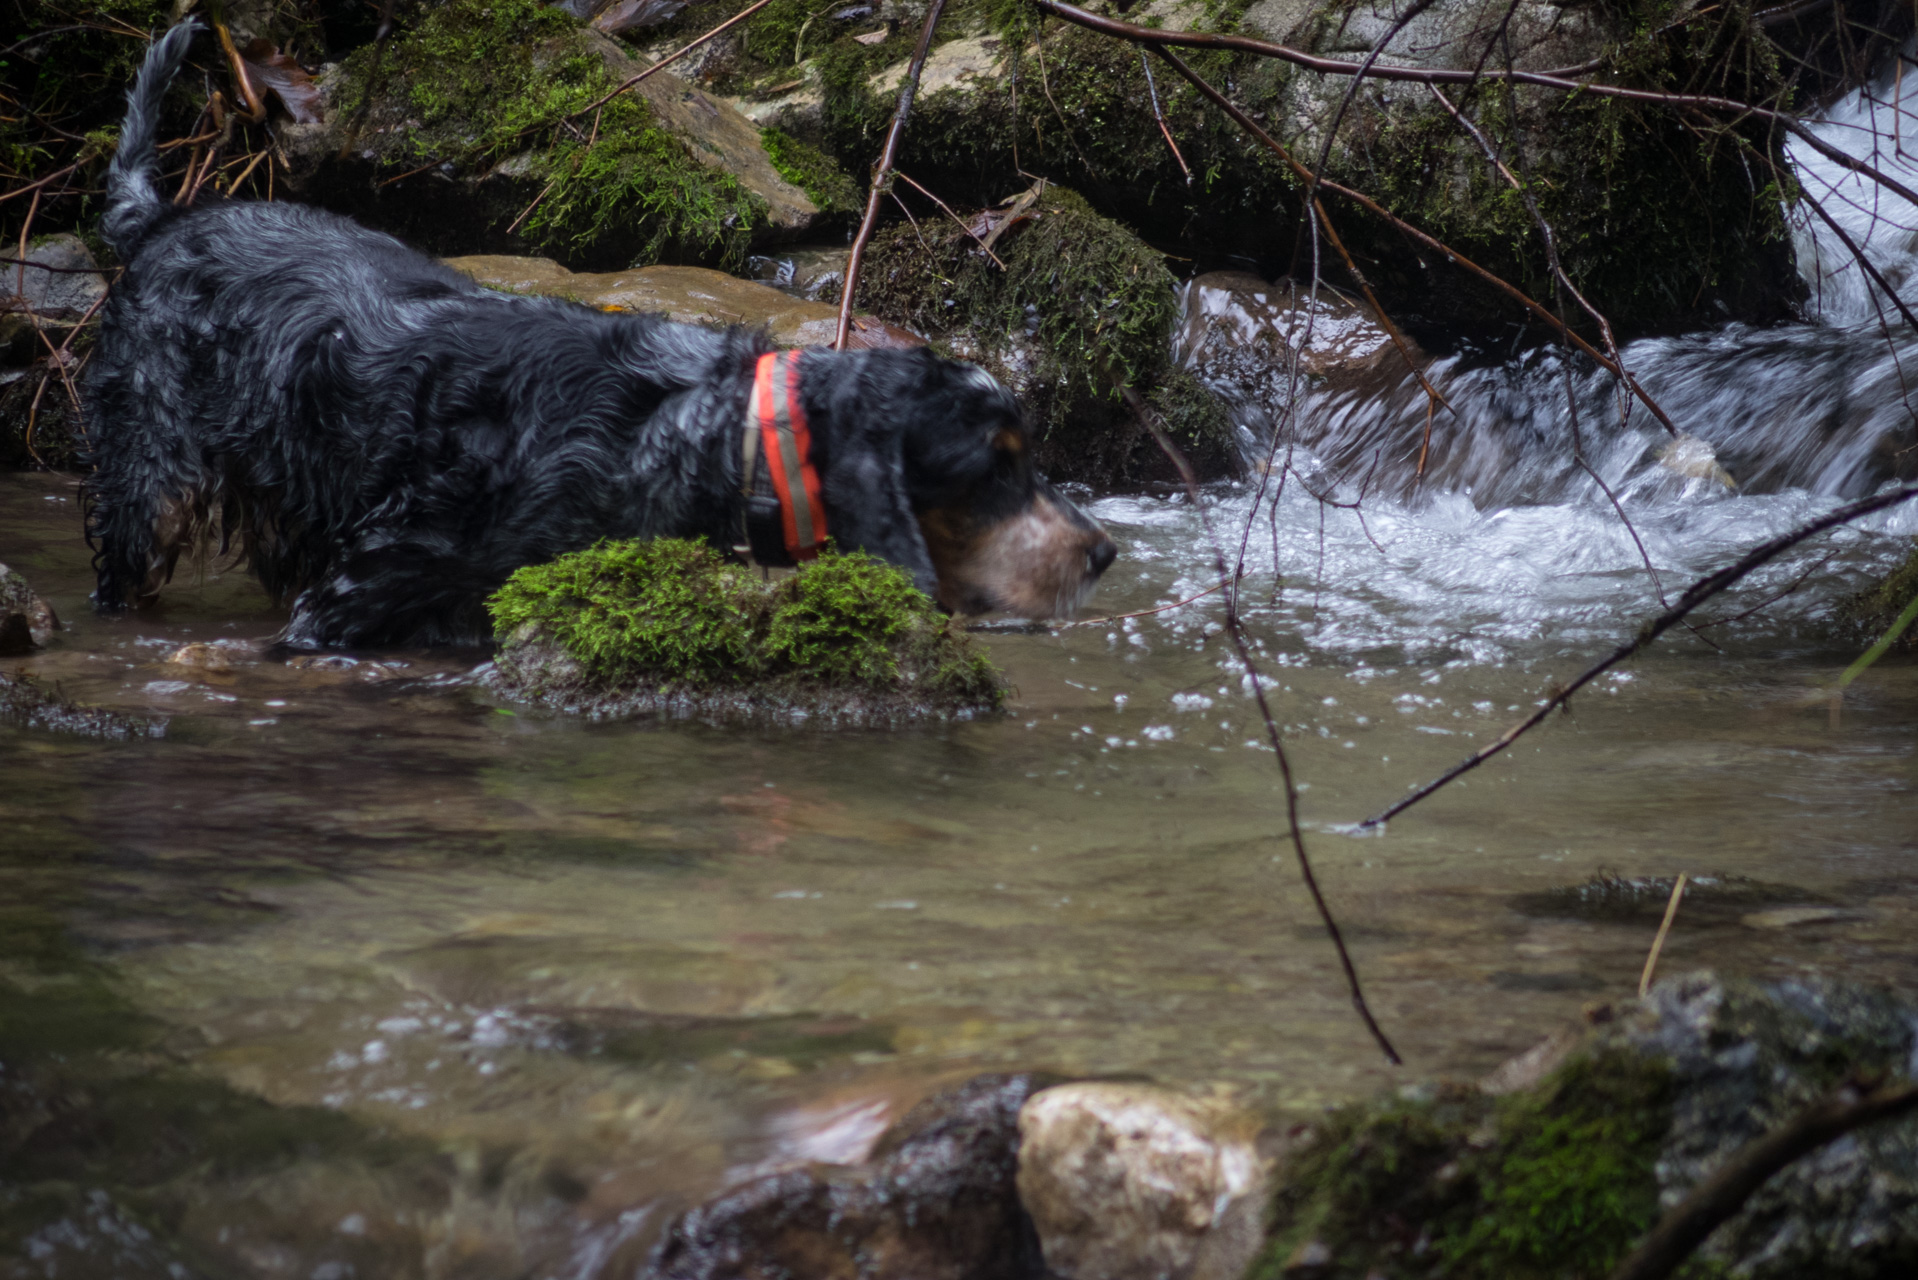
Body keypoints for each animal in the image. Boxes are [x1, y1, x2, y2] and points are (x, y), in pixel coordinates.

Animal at [82, 25, 1120, 652]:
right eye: (996, 468)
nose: (1102, 552)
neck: (707, 428)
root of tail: (158, 221)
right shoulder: (360, 589)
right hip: (149, 475)